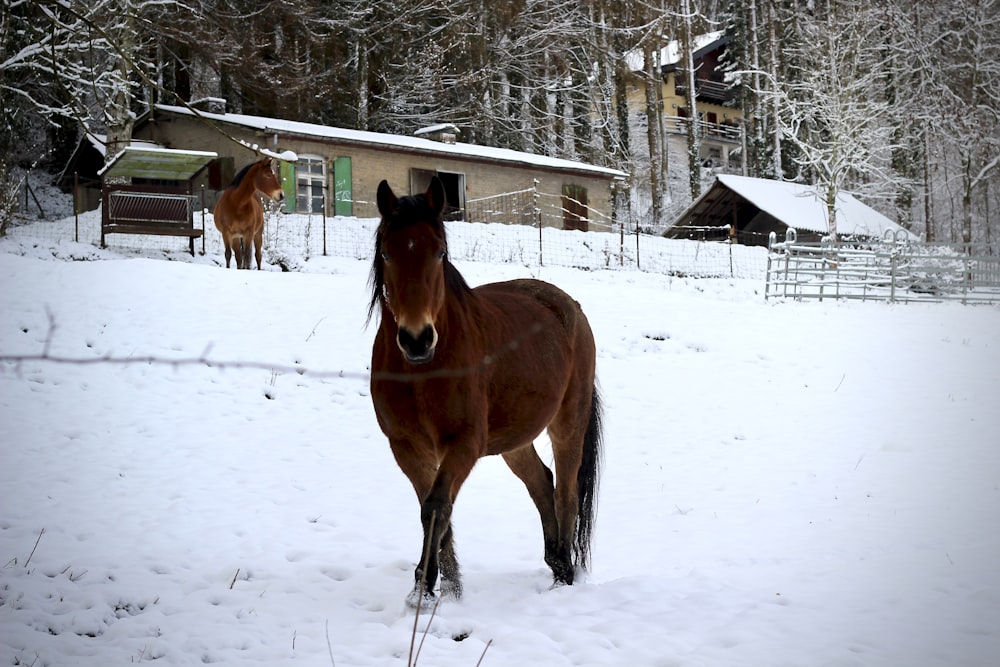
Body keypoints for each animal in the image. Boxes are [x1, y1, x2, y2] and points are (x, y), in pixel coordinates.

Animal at [368, 177, 600, 612]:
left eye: (440, 252)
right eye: (387, 252)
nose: (417, 338)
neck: (424, 370)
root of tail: (572, 308)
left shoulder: (463, 443)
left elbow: (436, 507)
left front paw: (424, 586)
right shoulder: (407, 446)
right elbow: (433, 509)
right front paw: (445, 588)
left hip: (567, 423)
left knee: (565, 491)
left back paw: (564, 578)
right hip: (515, 440)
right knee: (541, 483)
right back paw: (557, 565)